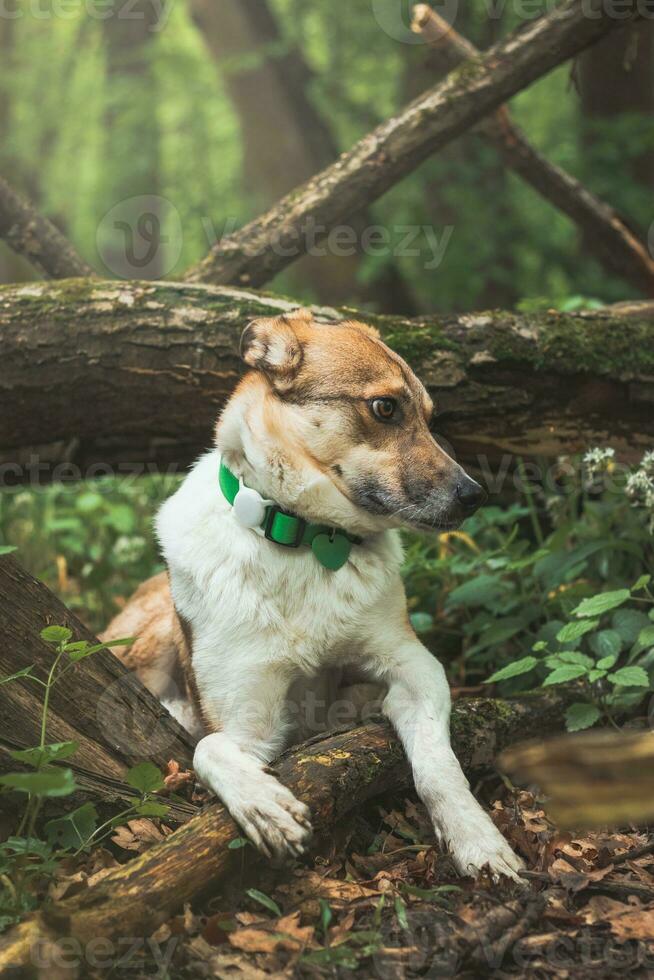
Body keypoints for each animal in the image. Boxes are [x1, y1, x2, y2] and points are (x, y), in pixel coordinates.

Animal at [106, 312, 528, 880]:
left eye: (430, 416)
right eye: (385, 407)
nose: (474, 495)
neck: (306, 537)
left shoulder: (417, 667)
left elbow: (441, 765)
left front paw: (477, 839)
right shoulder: (248, 719)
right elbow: (209, 748)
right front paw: (264, 805)